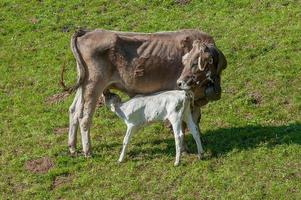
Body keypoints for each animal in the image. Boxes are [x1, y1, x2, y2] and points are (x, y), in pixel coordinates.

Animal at [64, 28, 226, 156]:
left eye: (196, 63)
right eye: (185, 61)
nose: (180, 82)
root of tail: (88, 31)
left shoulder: (195, 99)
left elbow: (195, 120)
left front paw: (199, 141)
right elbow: (182, 124)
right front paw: (184, 149)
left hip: (83, 86)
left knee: (73, 110)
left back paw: (72, 148)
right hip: (93, 86)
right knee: (84, 117)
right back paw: (87, 151)